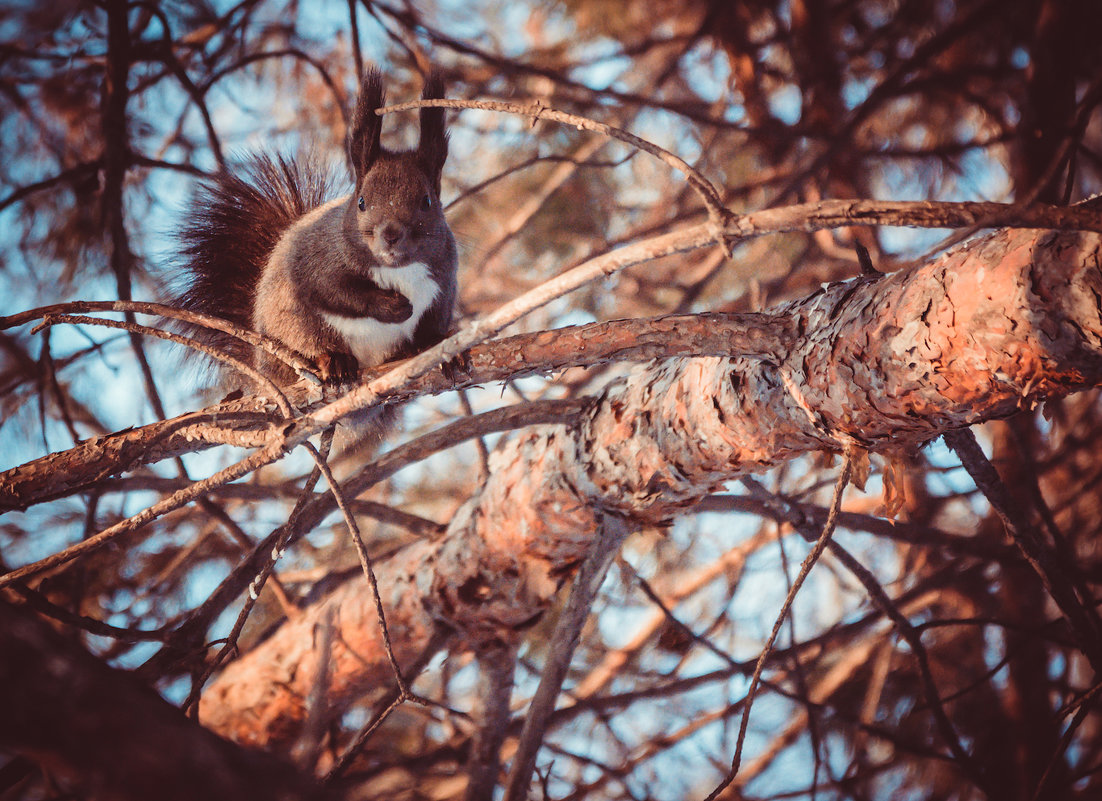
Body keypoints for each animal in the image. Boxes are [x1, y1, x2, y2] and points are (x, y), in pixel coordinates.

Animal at [175, 68, 456, 392]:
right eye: (361, 202)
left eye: (427, 201)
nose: (391, 234)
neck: (399, 270)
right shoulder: (317, 258)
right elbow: (333, 290)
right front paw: (391, 306)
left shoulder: (444, 282)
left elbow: (433, 325)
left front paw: (441, 349)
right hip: (295, 323)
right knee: (309, 341)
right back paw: (334, 361)